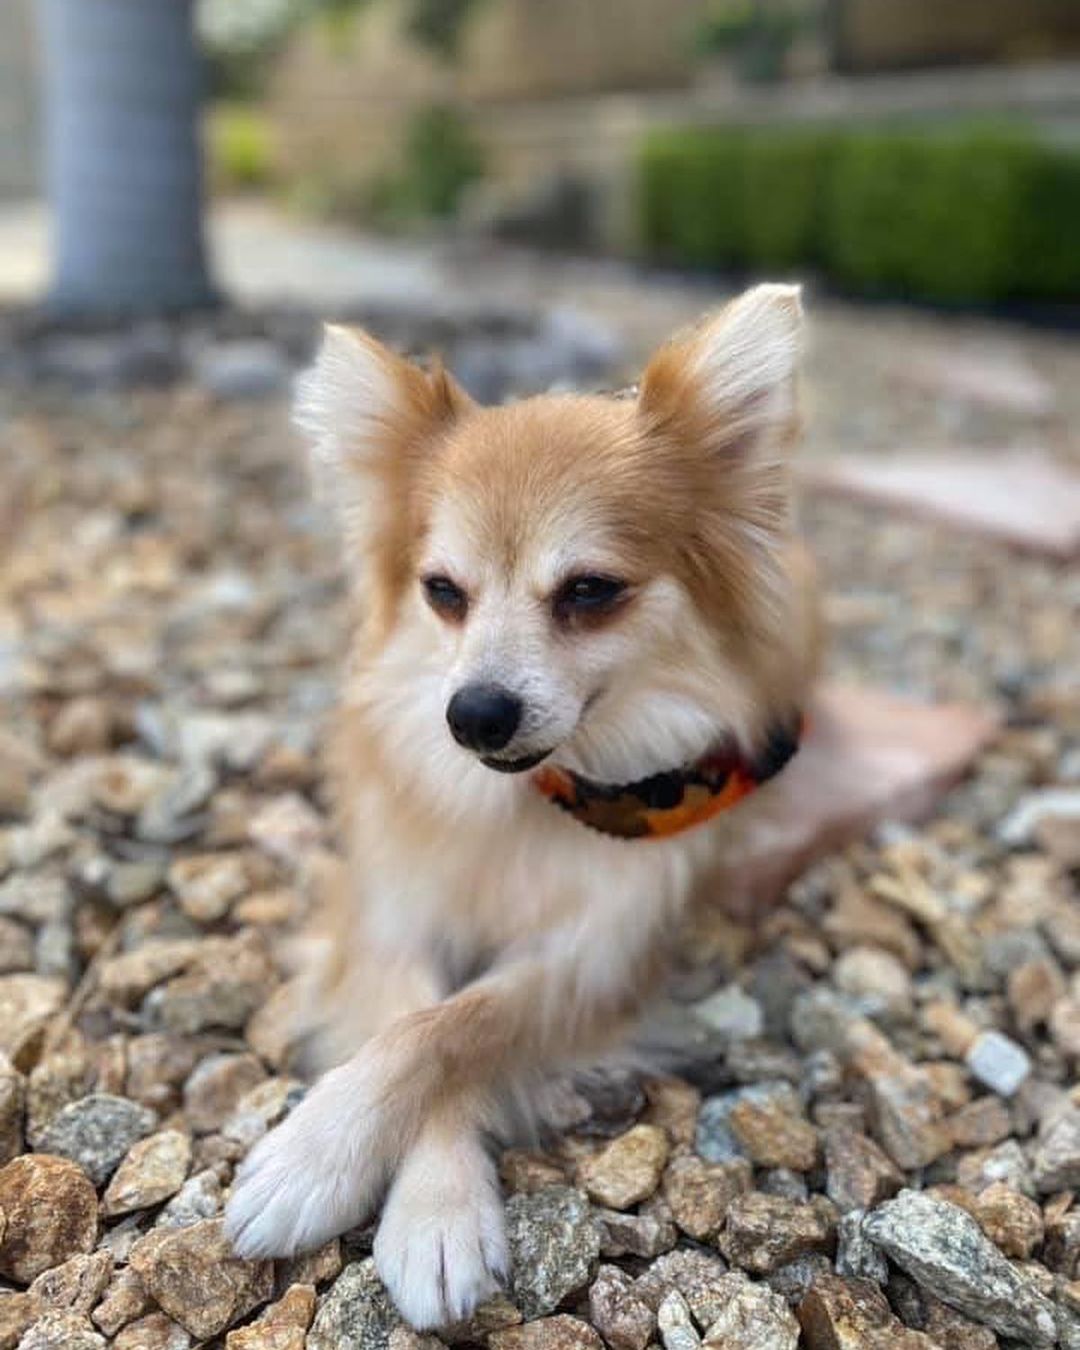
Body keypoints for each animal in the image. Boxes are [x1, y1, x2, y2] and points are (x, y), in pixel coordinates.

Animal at [225, 282, 820, 1328]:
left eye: (589, 591)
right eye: (442, 592)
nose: (473, 712)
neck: (532, 803)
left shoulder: (603, 952)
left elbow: (456, 1026)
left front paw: (339, 1165)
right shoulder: (389, 916)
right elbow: (412, 1014)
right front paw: (398, 1186)